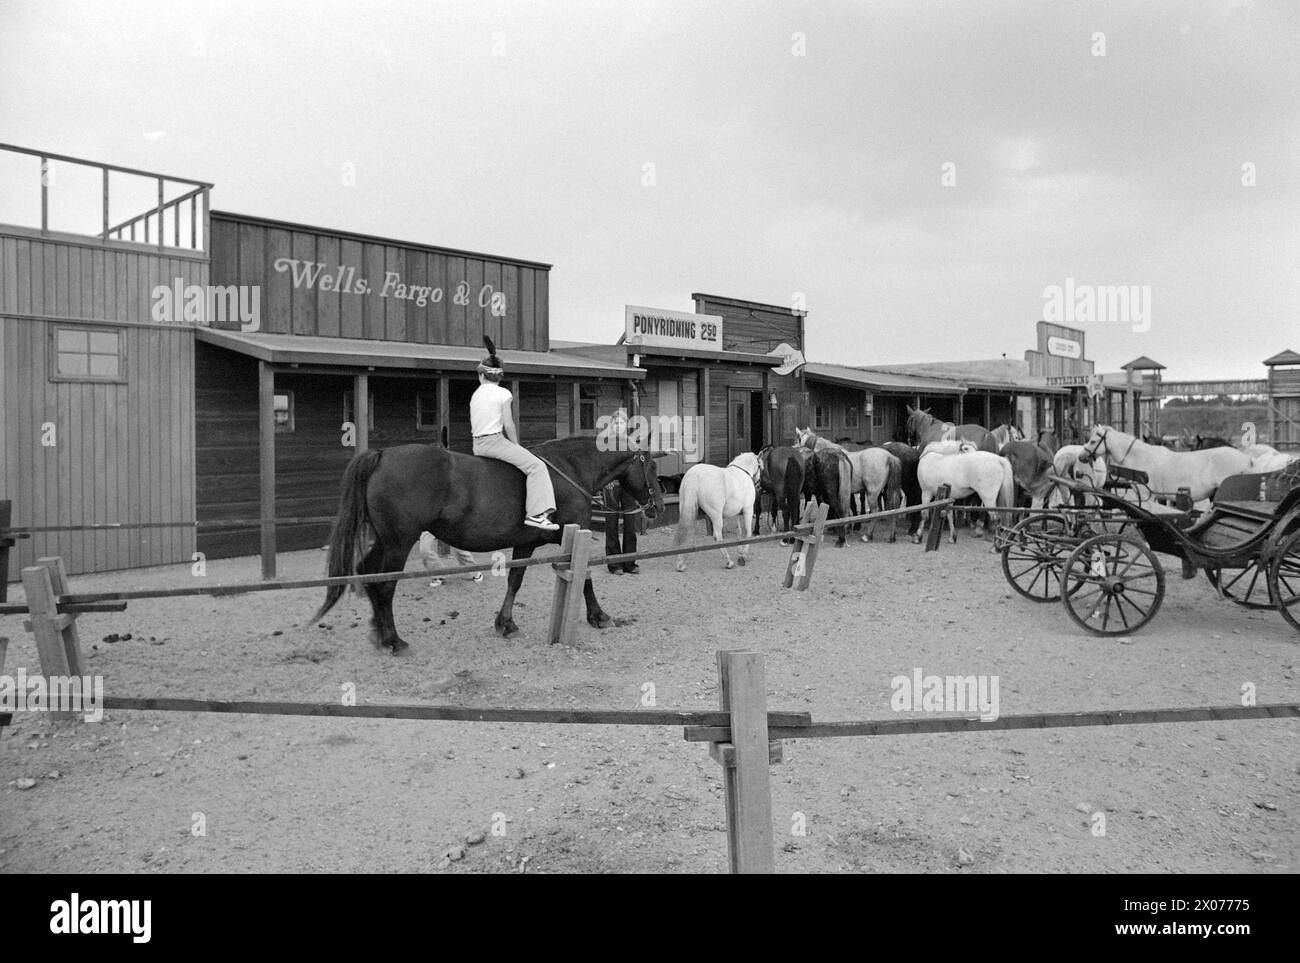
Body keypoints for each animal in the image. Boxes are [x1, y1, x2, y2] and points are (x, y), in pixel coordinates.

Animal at [312, 436, 660, 652]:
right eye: (652, 467)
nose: (657, 505)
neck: (569, 468)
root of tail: (383, 455)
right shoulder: (577, 534)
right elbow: (584, 576)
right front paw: (598, 616)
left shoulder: (525, 545)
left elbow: (514, 581)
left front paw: (505, 623)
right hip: (399, 543)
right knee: (385, 586)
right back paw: (395, 640)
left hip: (385, 541)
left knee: (368, 574)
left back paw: (380, 633)